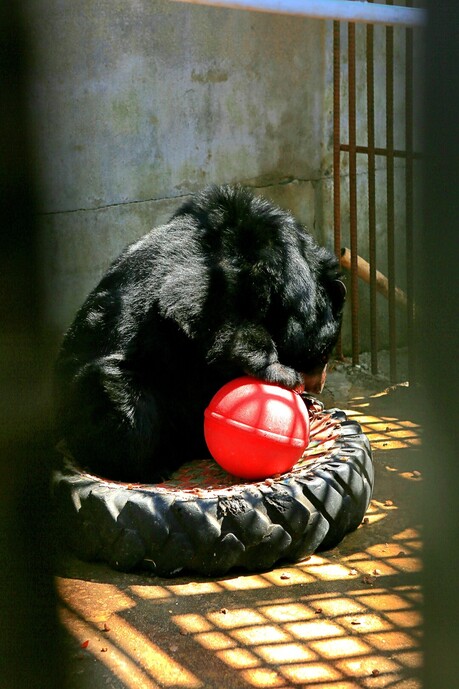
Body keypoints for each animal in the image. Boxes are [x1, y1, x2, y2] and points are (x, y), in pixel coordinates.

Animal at [54, 184, 346, 483]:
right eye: (324, 353)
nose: (318, 385)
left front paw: (309, 403)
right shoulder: (224, 263)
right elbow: (194, 300)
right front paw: (282, 374)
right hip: (111, 387)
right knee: (129, 411)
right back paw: (151, 466)